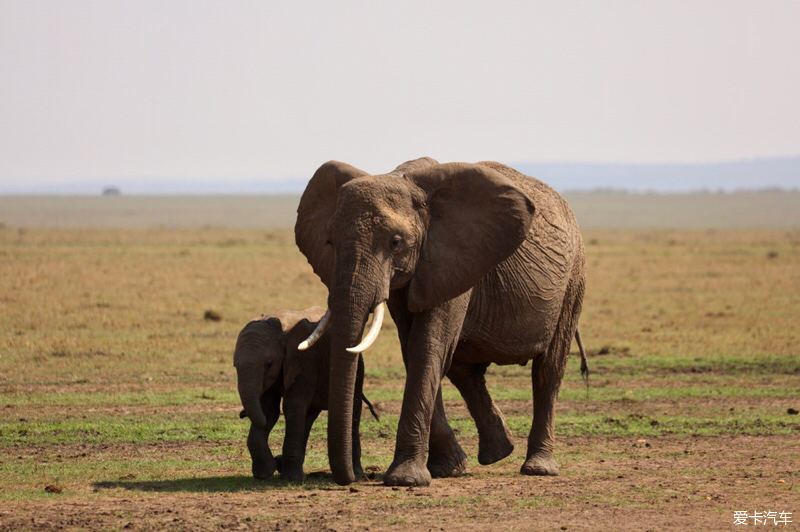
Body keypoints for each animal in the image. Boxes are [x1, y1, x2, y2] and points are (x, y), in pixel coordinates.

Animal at [231, 306, 376, 480]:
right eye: (234, 365)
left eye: (268, 364)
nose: (242, 413)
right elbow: (269, 411)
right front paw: (266, 472)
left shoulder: (305, 361)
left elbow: (292, 407)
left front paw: (290, 478)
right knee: (308, 415)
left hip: (358, 368)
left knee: (353, 408)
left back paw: (357, 474)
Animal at [296, 157, 584, 486]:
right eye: (329, 241)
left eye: (396, 242)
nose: (353, 478)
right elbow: (414, 350)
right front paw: (445, 469)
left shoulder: (452, 256)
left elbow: (427, 348)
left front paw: (405, 479)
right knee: (464, 369)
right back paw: (498, 452)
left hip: (573, 279)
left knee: (548, 369)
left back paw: (537, 467)